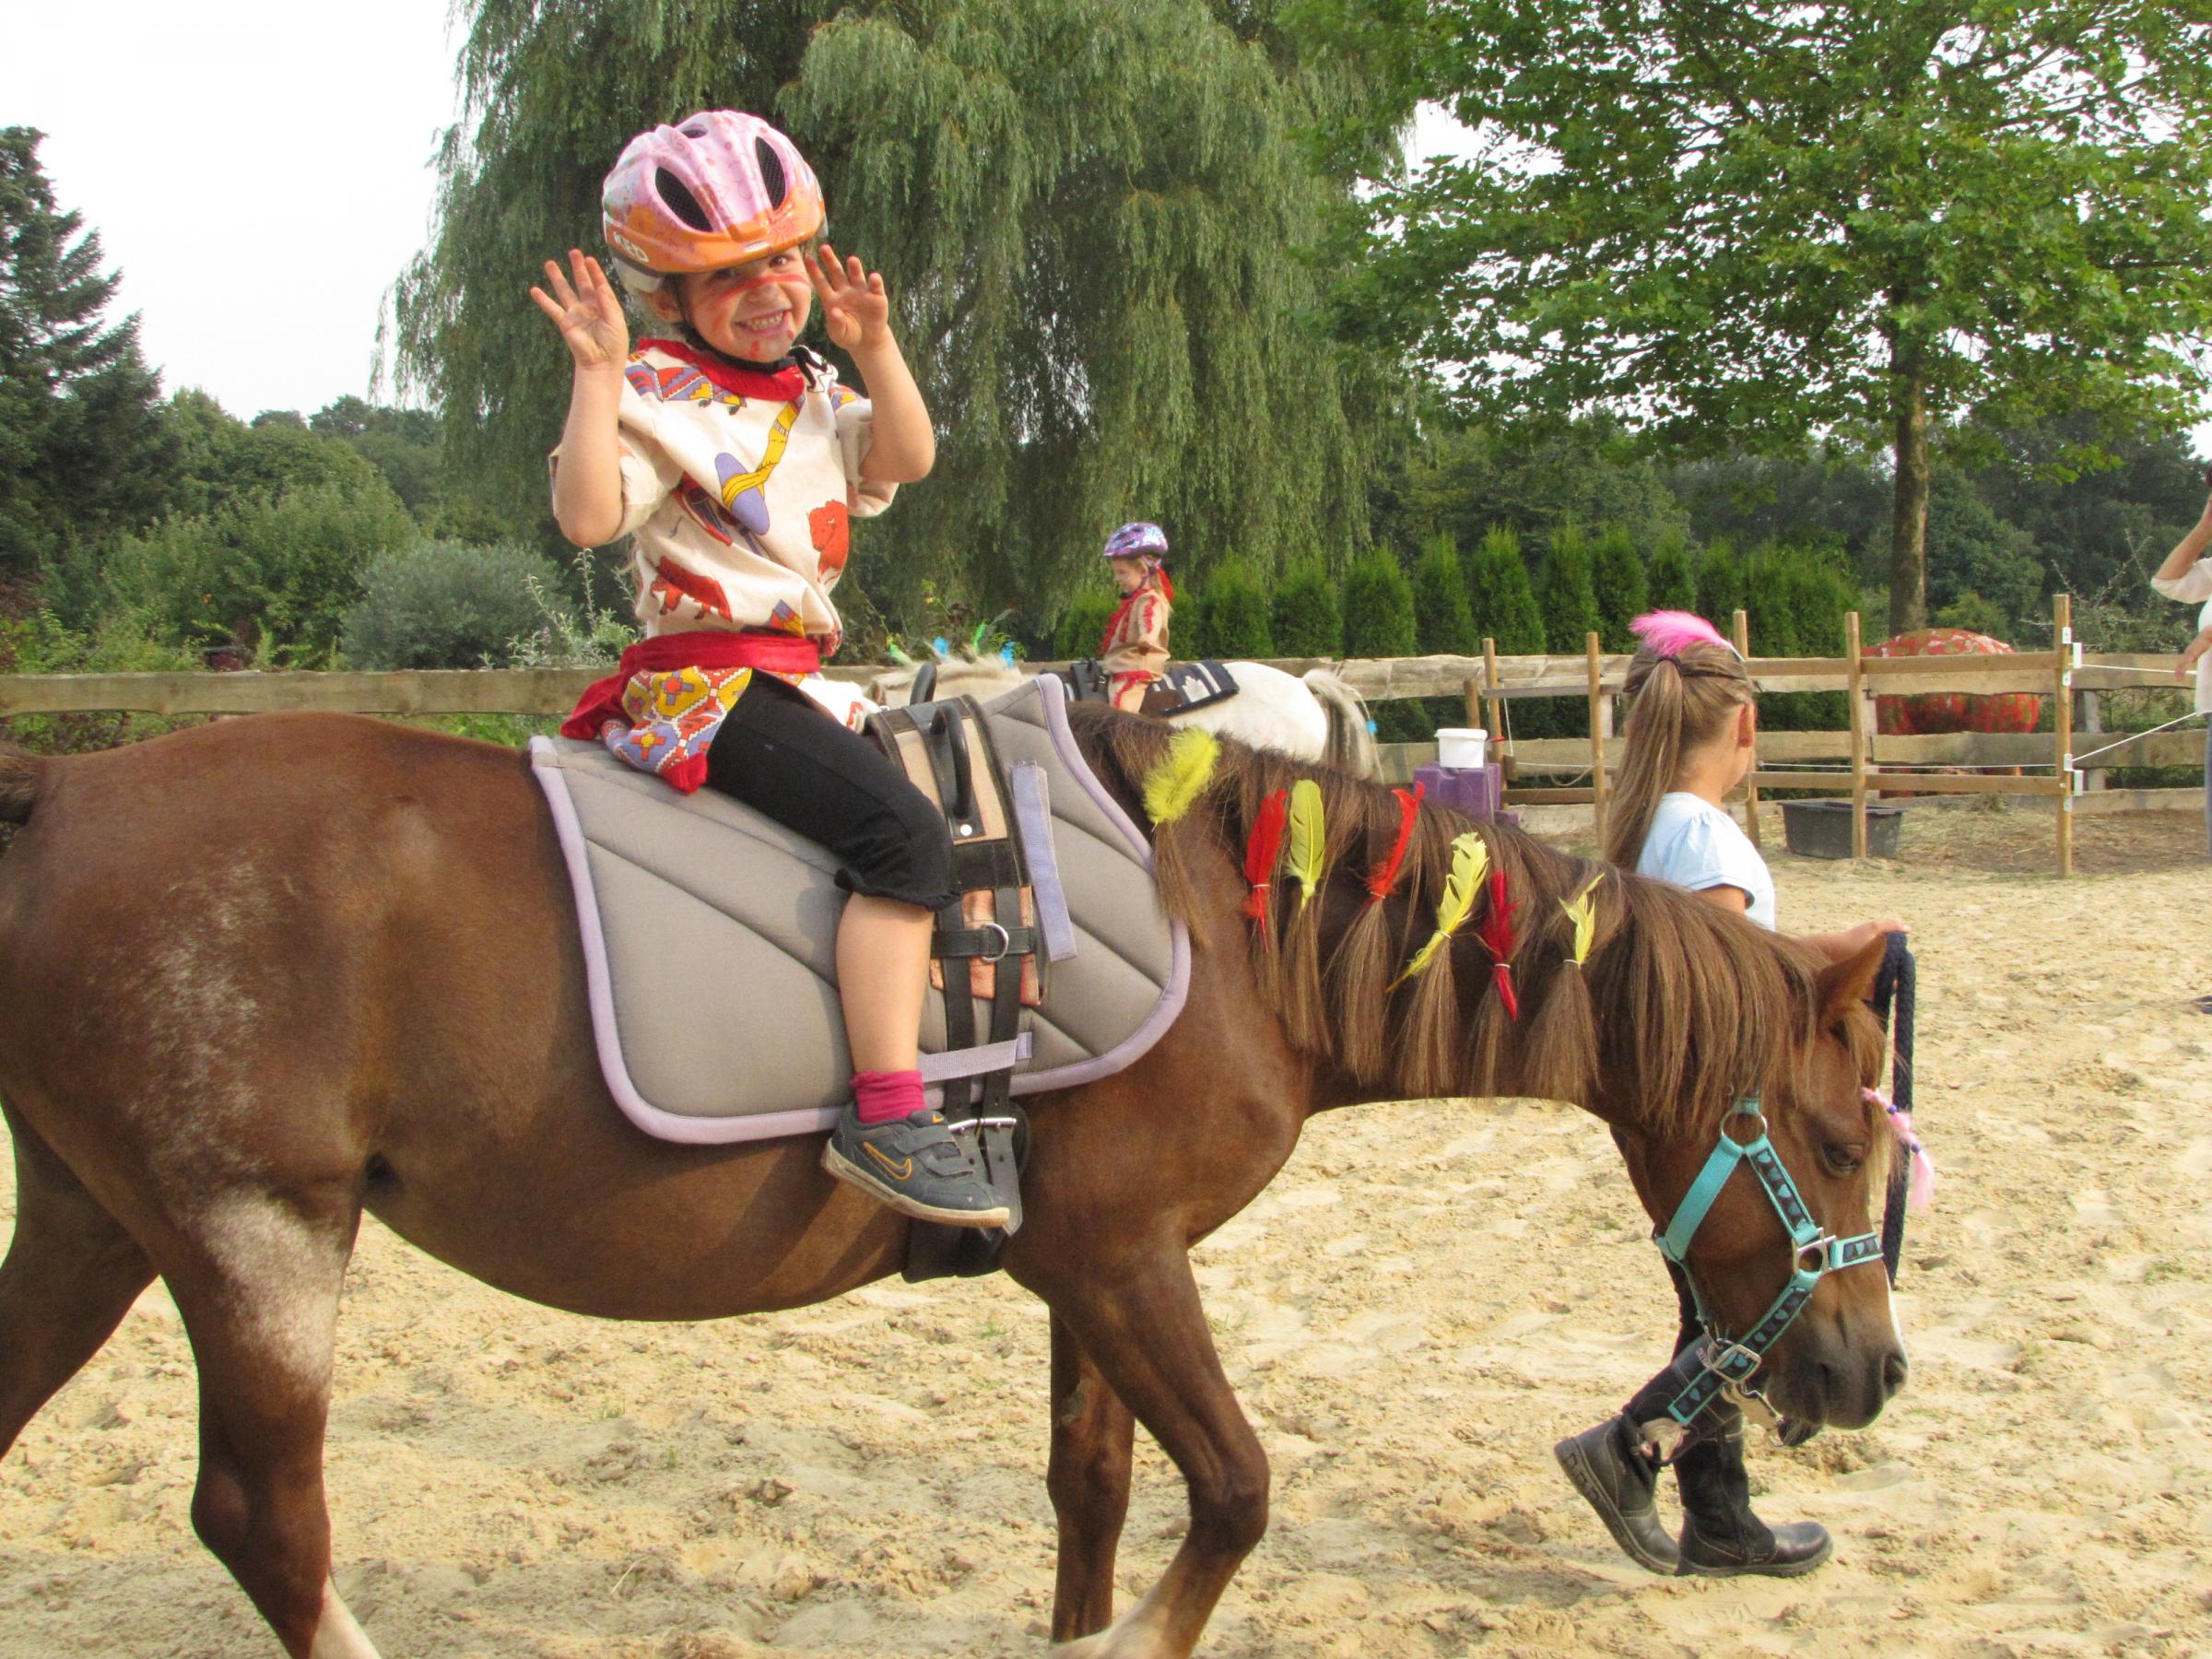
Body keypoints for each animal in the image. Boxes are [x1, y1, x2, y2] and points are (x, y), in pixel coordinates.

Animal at [0, 716, 1902, 1659]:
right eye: (1838, 1143)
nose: (1869, 1370)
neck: (1226, 936)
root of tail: (62, 784)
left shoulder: (1088, 1272)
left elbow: (1095, 1501)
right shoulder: (1127, 1261)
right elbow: (1234, 1500)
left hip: (95, 1226)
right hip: (255, 1235)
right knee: (266, 1523)